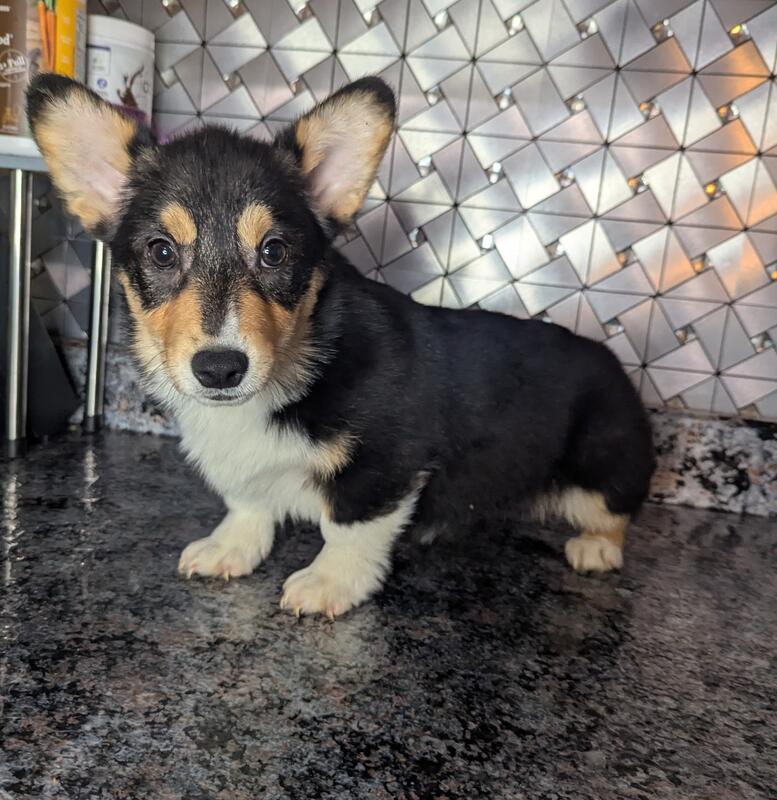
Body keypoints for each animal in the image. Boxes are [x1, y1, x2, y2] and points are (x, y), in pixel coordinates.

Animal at [27, 74, 655, 619]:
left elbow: (347, 526)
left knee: (616, 512)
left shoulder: (387, 463)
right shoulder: (249, 477)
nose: (220, 369)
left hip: (600, 470)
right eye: (161, 252)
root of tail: (615, 365)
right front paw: (229, 547)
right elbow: (248, 505)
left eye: (274, 251)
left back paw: (597, 548)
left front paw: (329, 582)